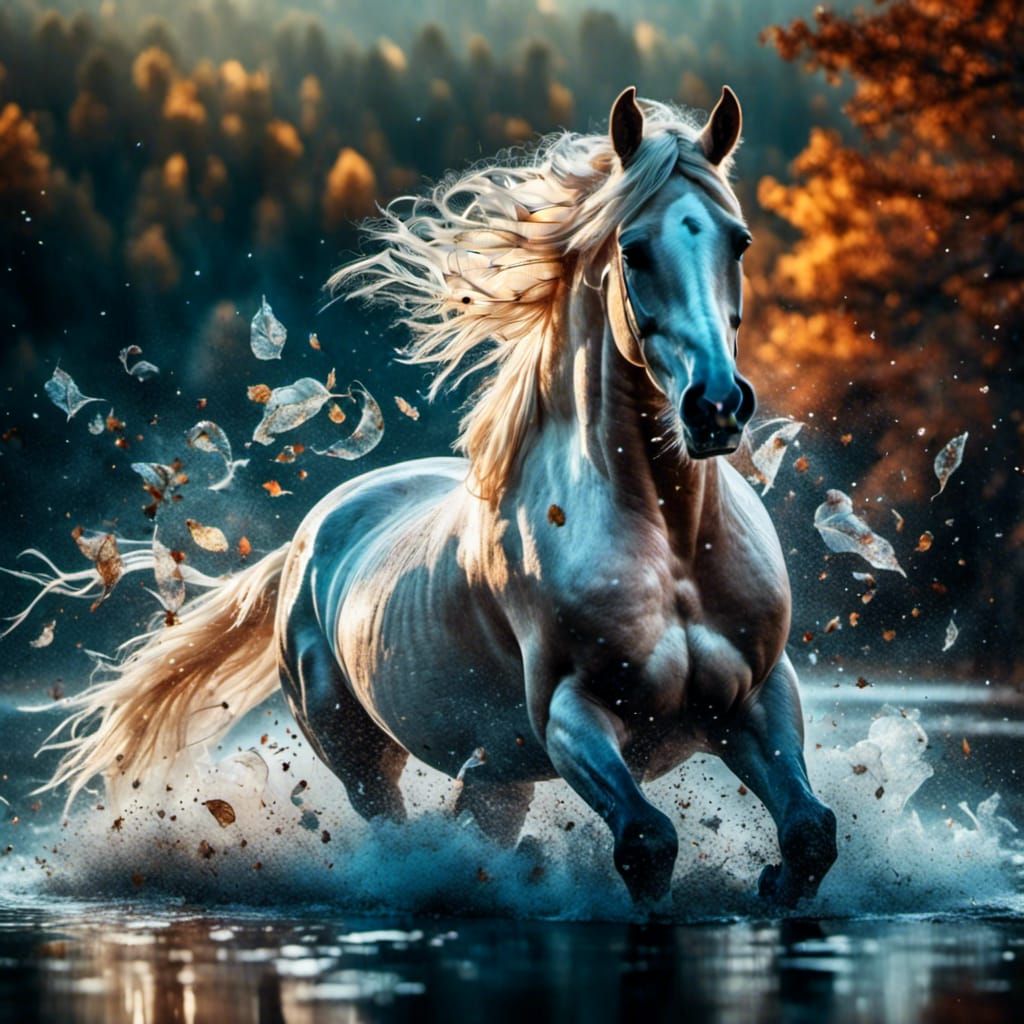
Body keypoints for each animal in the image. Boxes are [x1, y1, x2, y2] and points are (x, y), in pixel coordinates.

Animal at [17, 87, 837, 905]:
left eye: (738, 241)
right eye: (633, 249)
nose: (717, 407)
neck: (668, 544)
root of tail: (307, 540)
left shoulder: (758, 698)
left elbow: (809, 833)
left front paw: (772, 886)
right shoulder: (572, 715)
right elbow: (647, 842)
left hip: (498, 771)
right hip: (360, 752)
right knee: (393, 827)